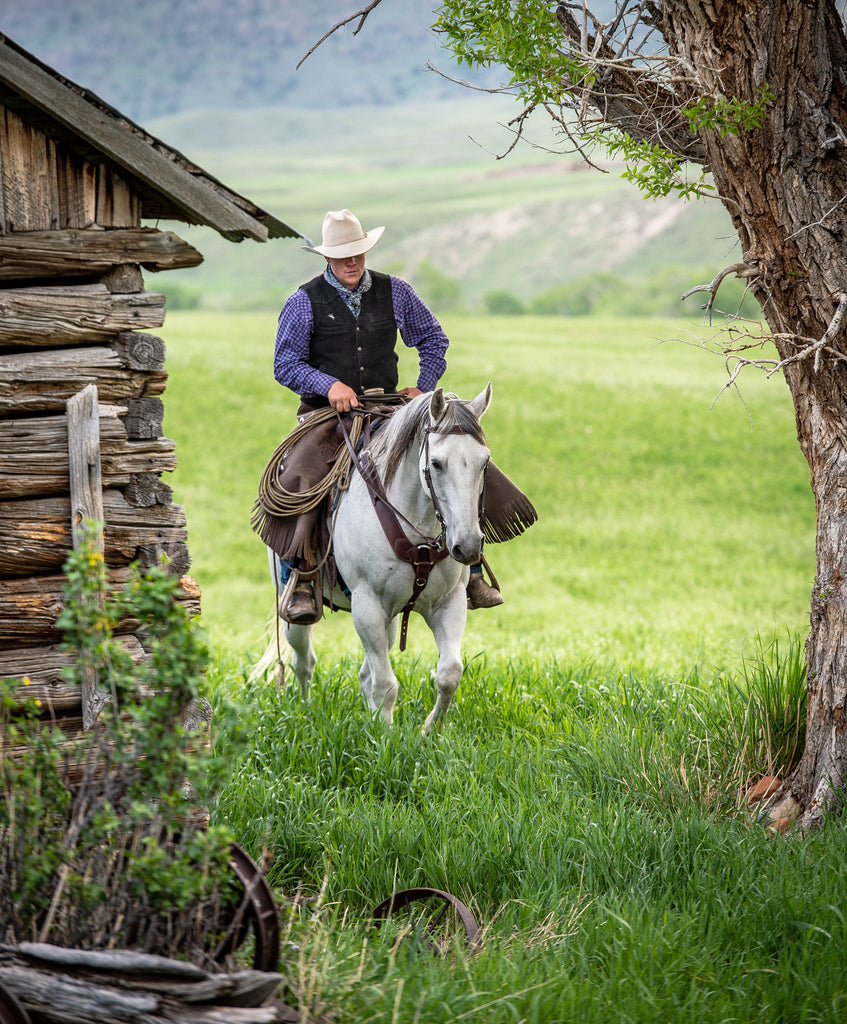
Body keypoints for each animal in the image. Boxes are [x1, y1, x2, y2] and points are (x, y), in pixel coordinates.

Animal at [278, 385, 493, 737]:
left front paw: (429, 732)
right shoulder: (367, 606)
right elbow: (385, 684)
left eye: (484, 462)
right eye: (436, 463)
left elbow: (449, 673)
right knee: (304, 660)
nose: (468, 546)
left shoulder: (449, 603)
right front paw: (385, 738)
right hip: (295, 606)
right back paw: (304, 711)